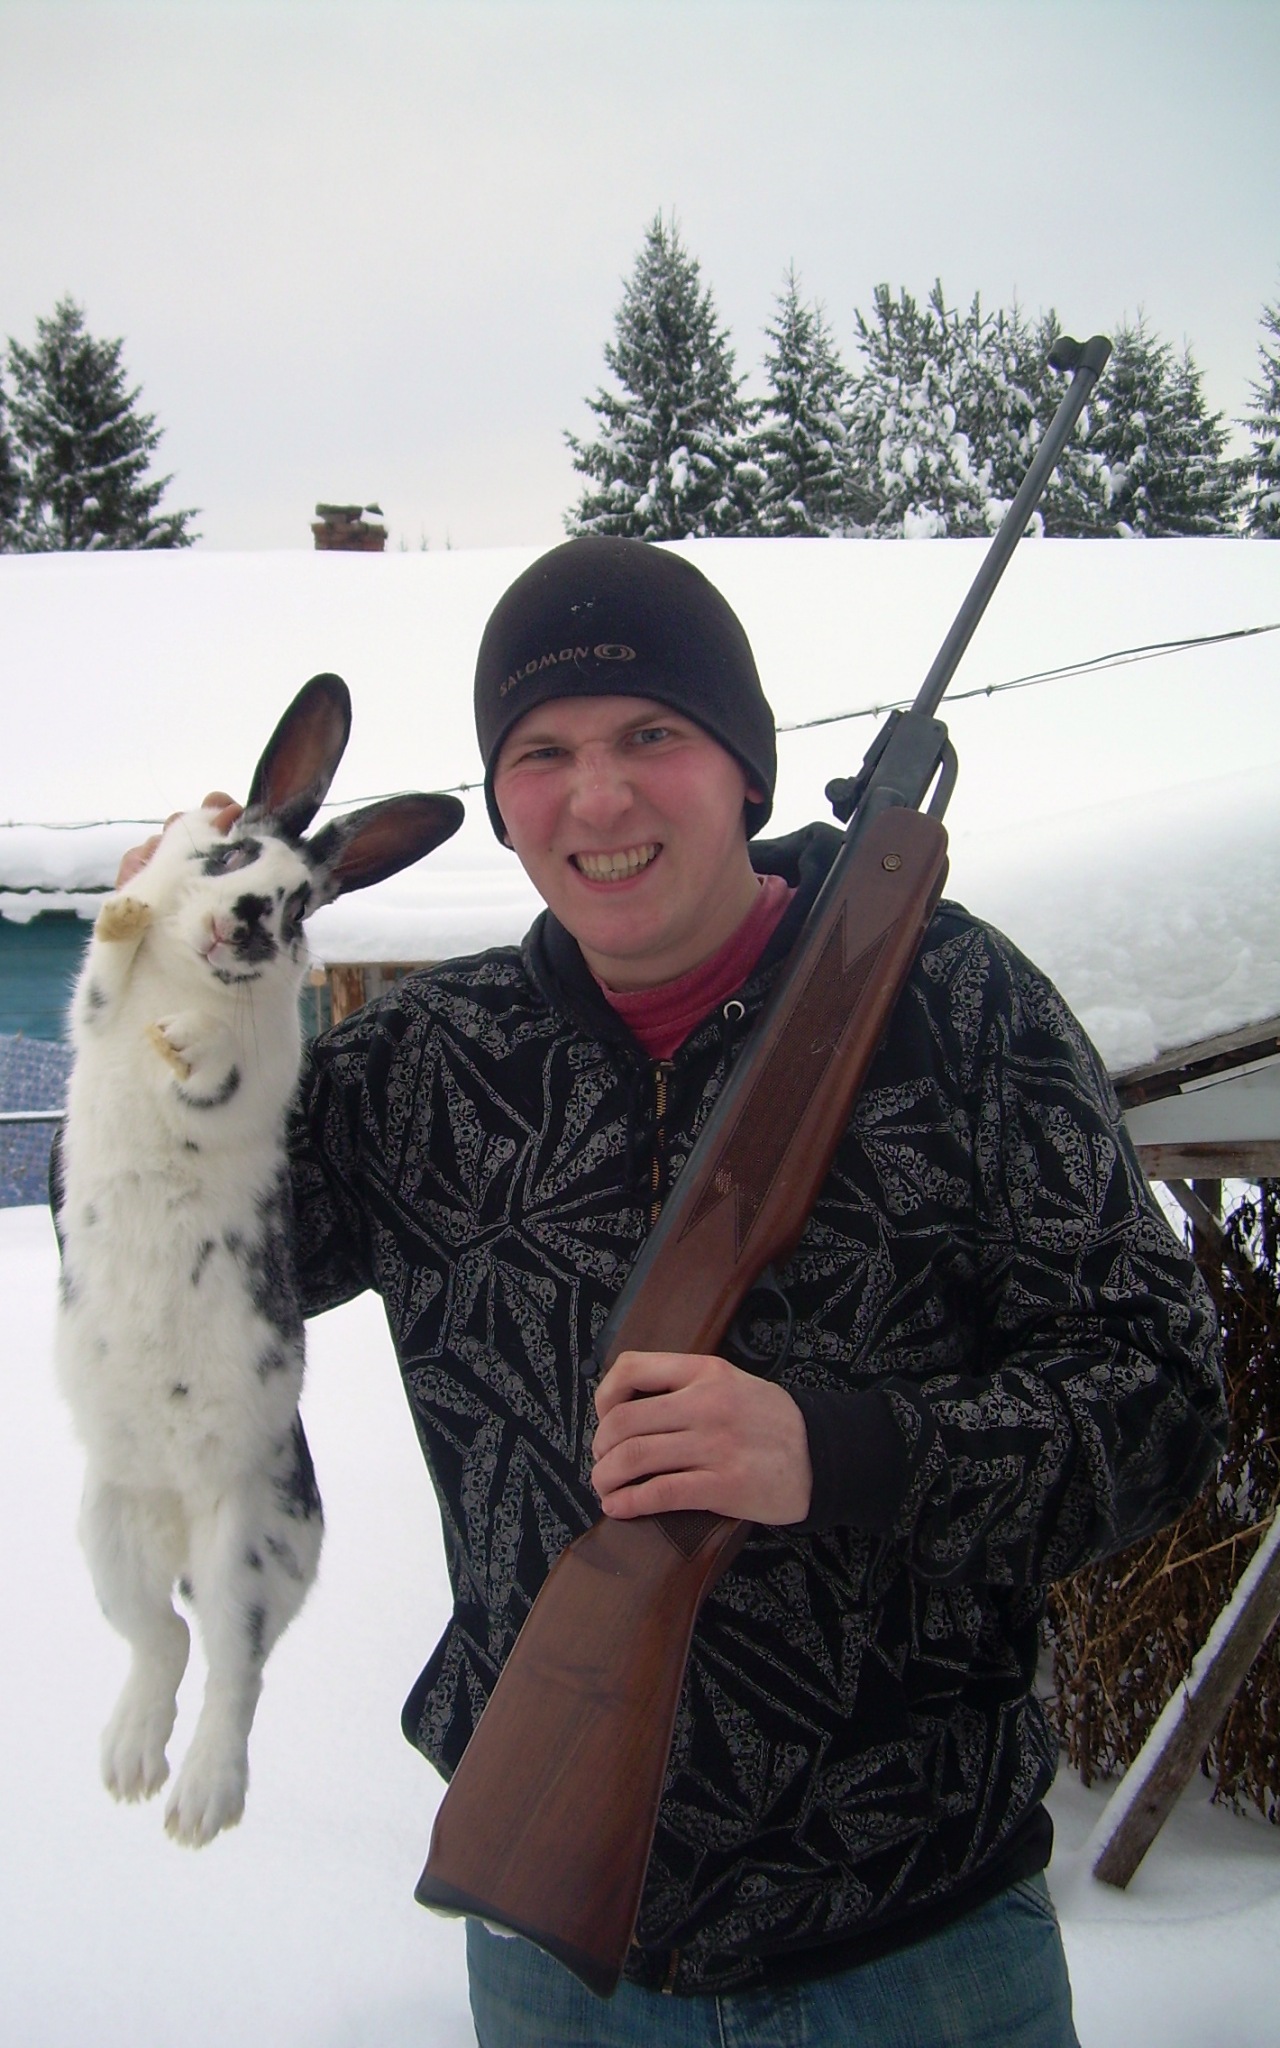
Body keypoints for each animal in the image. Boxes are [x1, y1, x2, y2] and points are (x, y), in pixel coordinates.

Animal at [53, 672, 462, 1846]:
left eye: (298, 910)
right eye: (233, 854)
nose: (244, 921)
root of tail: (181, 1513)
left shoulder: (261, 1066)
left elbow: (223, 1069)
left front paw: (192, 1041)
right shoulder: (97, 1014)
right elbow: (105, 974)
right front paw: (125, 911)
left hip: (249, 1545)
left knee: (234, 1670)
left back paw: (199, 1802)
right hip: (108, 1534)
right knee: (161, 1645)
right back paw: (130, 1765)